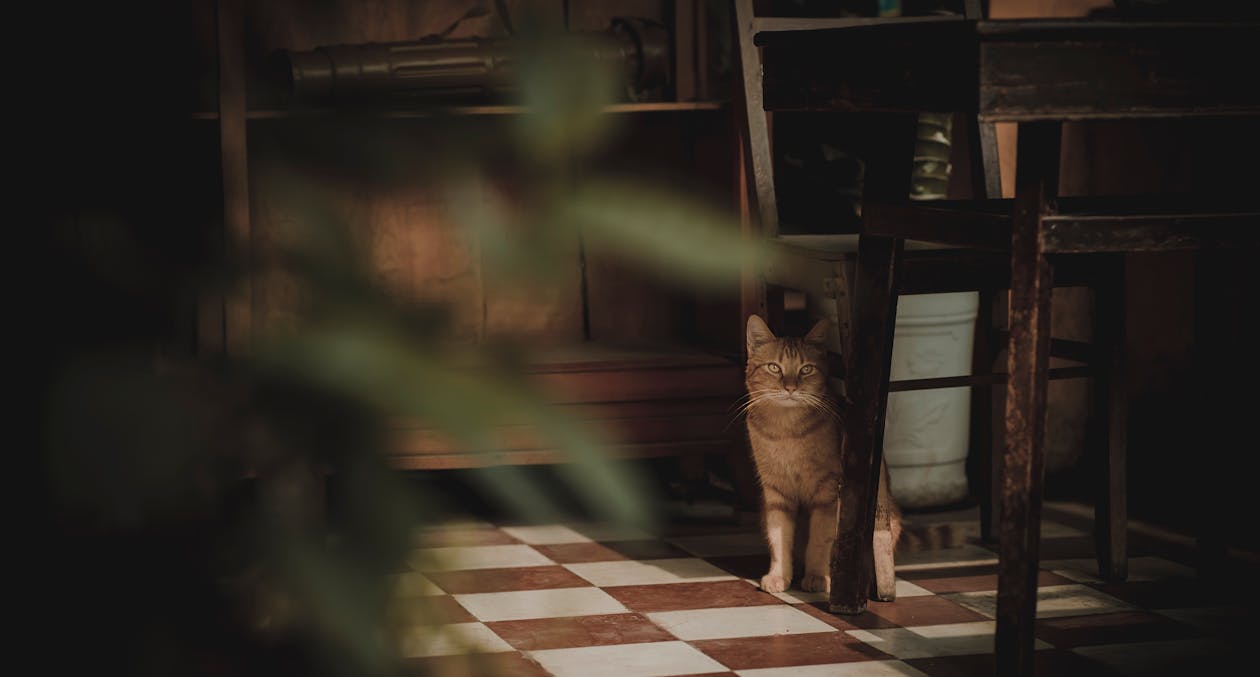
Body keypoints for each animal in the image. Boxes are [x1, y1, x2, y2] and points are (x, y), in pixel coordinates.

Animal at [740, 312, 902, 597]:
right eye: (774, 367)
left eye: (806, 369)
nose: (790, 387)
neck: (786, 431)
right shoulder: (776, 492)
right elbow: (778, 537)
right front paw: (779, 576)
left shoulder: (827, 492)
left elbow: (819, 539)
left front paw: (817, 576)